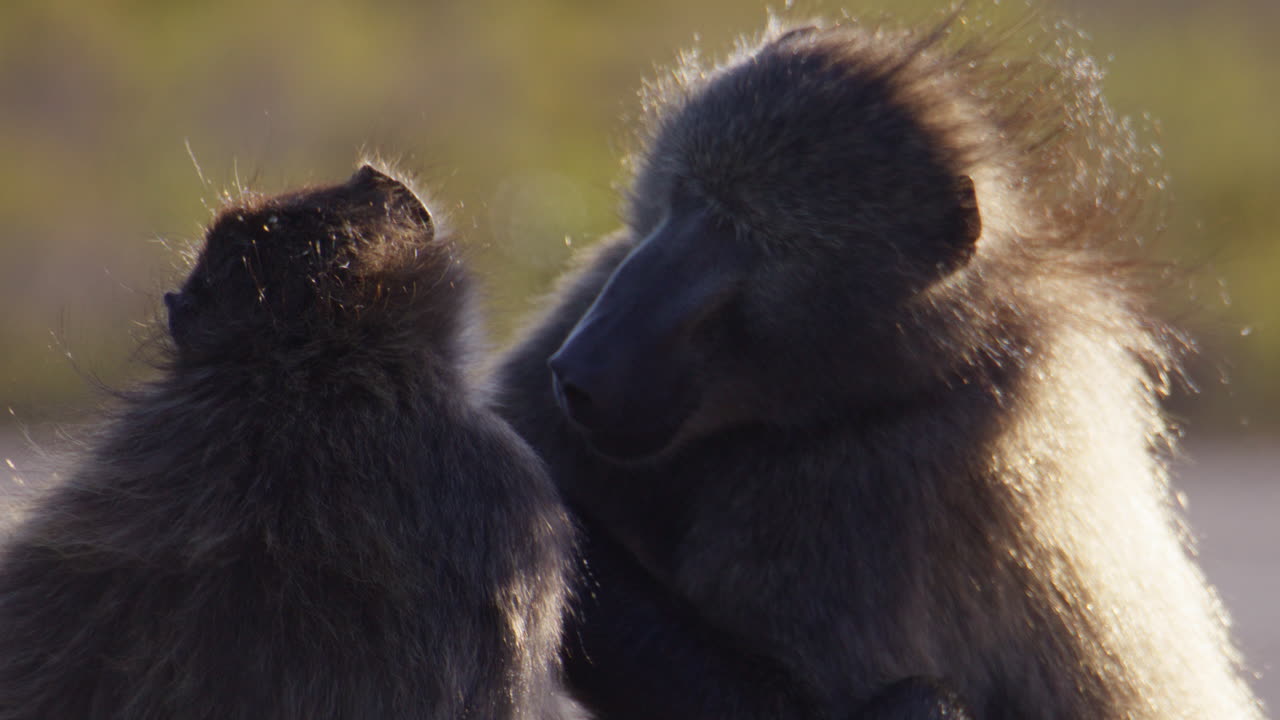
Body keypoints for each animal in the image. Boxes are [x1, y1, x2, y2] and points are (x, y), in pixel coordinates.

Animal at [492, 17, 1267, 720]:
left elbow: (795, 700)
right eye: (684, 199)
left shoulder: (876, 478)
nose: (582, 375)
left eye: (748, 235)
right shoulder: (603, 282)